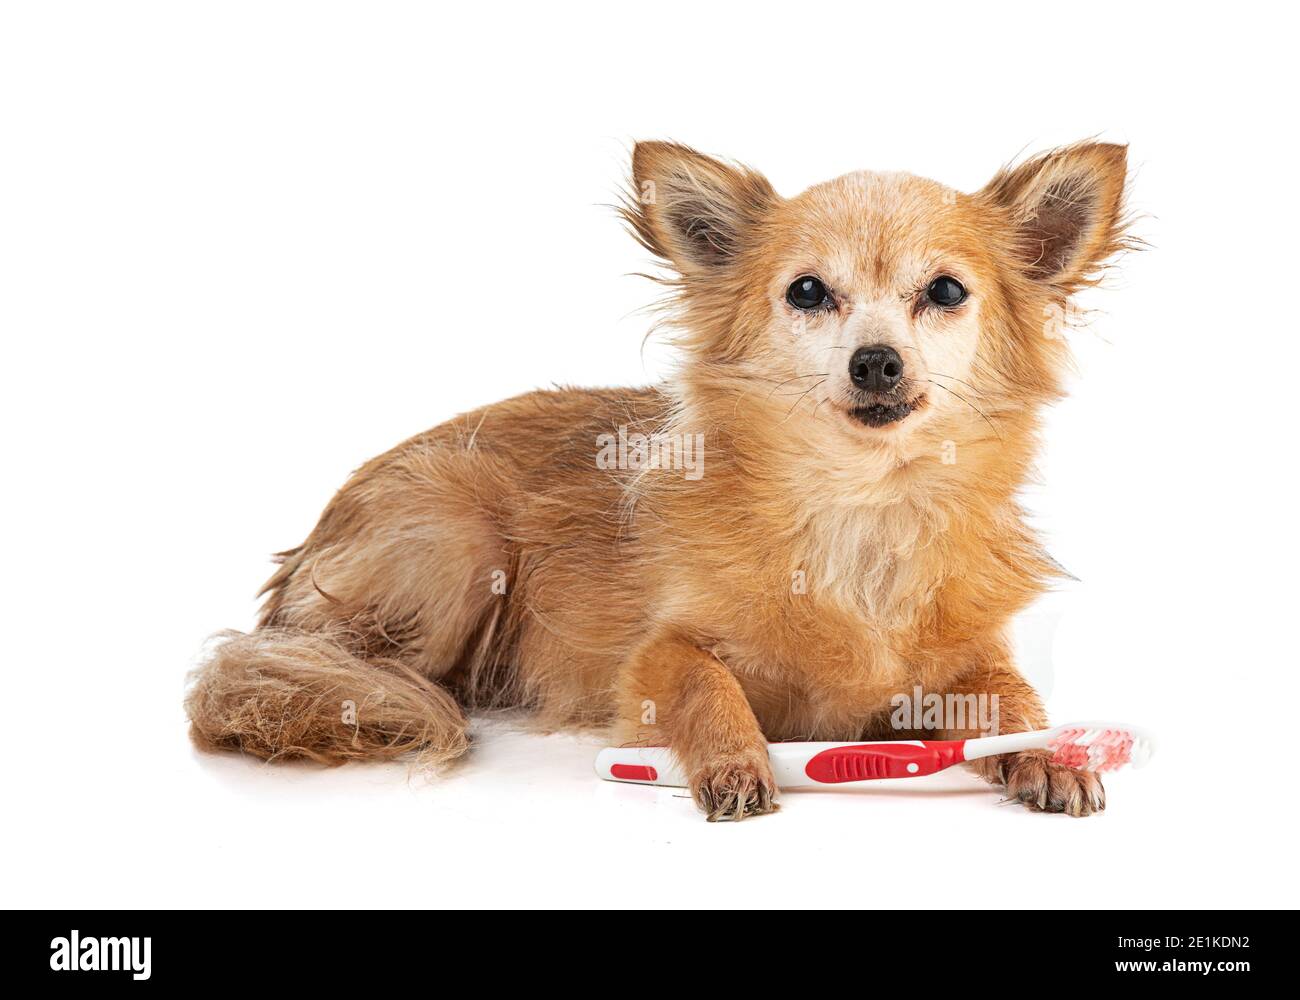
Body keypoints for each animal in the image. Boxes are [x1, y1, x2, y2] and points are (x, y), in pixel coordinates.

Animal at [188, 144, 1133, 821]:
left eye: (944, 291)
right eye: (807, 292)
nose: (876, 361)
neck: (859, 505)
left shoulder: (976, 657)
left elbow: (1014, 697)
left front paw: (1050, 751)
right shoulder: (655, 656)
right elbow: (702, 682)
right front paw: (735, 761)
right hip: (457, 537)